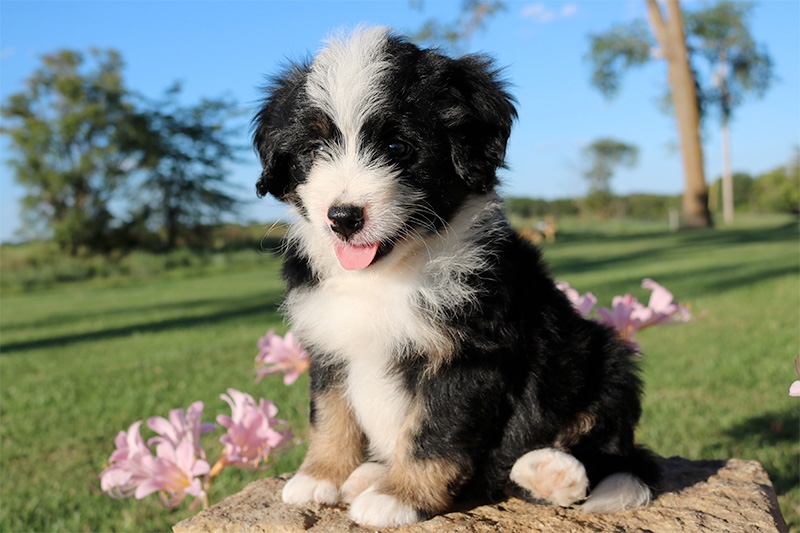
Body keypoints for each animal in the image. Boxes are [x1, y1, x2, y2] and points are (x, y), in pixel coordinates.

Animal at [253, 26, 660, 528]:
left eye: (397, 147)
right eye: (312, 150)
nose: (344, 217)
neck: (388, 274)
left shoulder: (470, 356)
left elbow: (435, 431)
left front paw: (400, 496)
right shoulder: (330, 342)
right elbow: (329, 414)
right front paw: (321, 475)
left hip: (606, 360)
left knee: (605, 451)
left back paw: (551, 471)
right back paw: (368, 473)